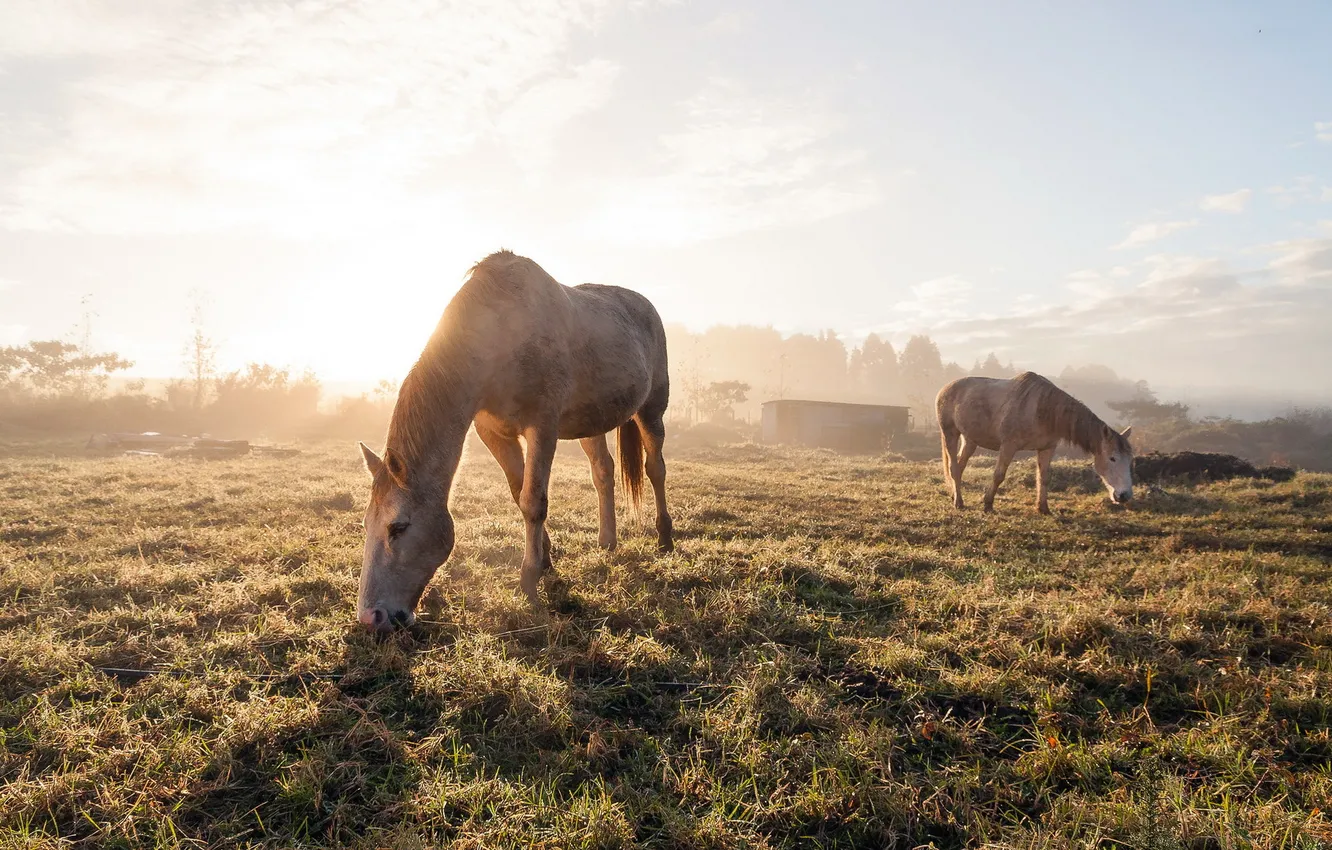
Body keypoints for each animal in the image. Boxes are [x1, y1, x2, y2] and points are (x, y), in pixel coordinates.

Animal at [354, 250, 671, 628]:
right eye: (365, 524)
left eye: (398, 527)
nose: (371, 616)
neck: (501, 333)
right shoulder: (492, 432)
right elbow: (518, 492)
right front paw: (545, 561)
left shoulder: (543, 426)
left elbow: (533, 501)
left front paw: (529, 582)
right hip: (593, 422)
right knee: (603, 472)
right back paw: (607, 541)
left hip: (652, 409)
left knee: (656, 469)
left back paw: (665, 537)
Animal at [937, 370, 1134, 511]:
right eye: (1112, 458)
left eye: (1130, 460)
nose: (1125, 495)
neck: (1042, 410)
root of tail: (944, 388)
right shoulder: (1008, 446)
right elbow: (999, 475)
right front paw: (988, 503)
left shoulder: (1047, 448)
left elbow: (1043, 477)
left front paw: (1043, 508)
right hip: (950, 433)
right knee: (954, 467)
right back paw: (959, 503)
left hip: (970, 439)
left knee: (960, 466)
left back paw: (955, 495)